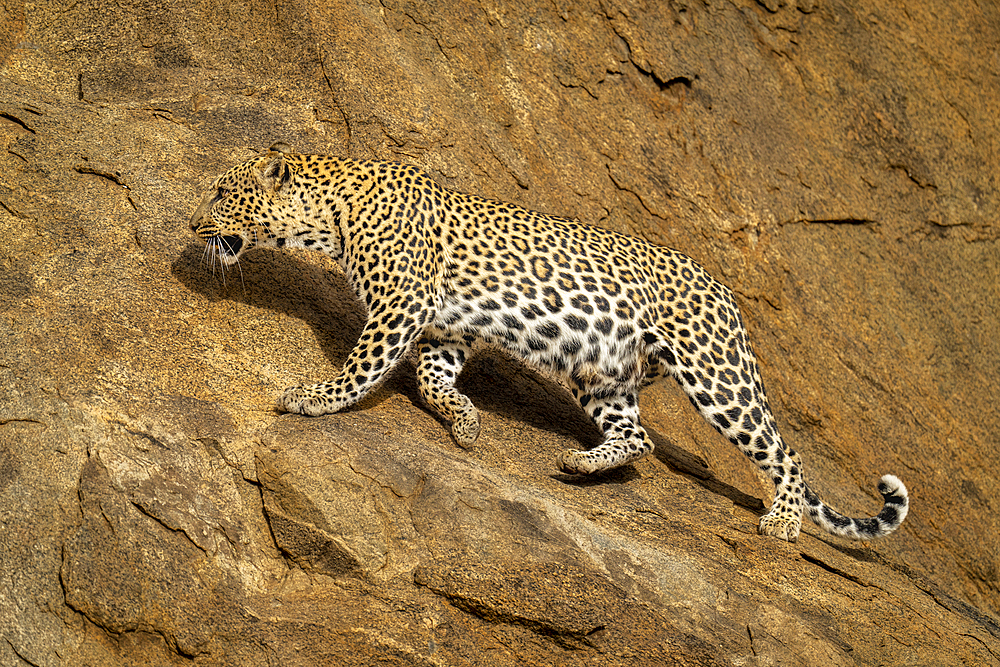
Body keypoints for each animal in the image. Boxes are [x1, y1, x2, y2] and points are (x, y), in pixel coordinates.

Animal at [186, 145, 908, 544]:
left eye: (222, 192)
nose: (191, 225)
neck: (328, 217)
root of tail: (726, 291)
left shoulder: (403, 304)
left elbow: (364, 365)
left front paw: (313, 397)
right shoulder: (446, 326)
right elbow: (431, 377)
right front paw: (465, 421)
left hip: (715, 372)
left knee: (782, 451)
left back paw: (783, 521)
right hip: (602, 372)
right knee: (640, 437)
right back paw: (582, 464)